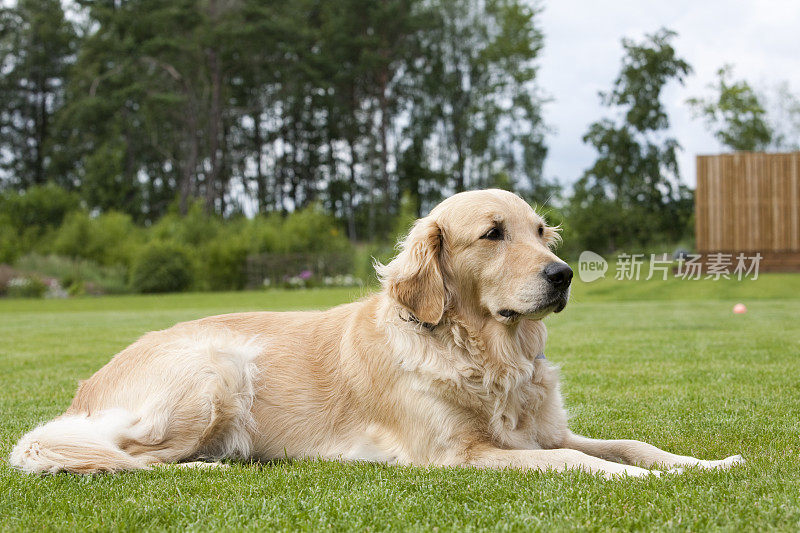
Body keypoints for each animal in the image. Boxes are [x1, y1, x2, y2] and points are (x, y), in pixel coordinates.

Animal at [10, 189, 744, 476]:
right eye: (493, 233)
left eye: (541, 232)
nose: (563, 275)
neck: (485, 353)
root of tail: (86, 389)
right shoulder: (460, 454)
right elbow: (578, 462)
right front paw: (634, 480)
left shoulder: (543, 430)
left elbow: (632, 443)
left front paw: (705, 465)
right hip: (217, 368)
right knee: (127, 457)